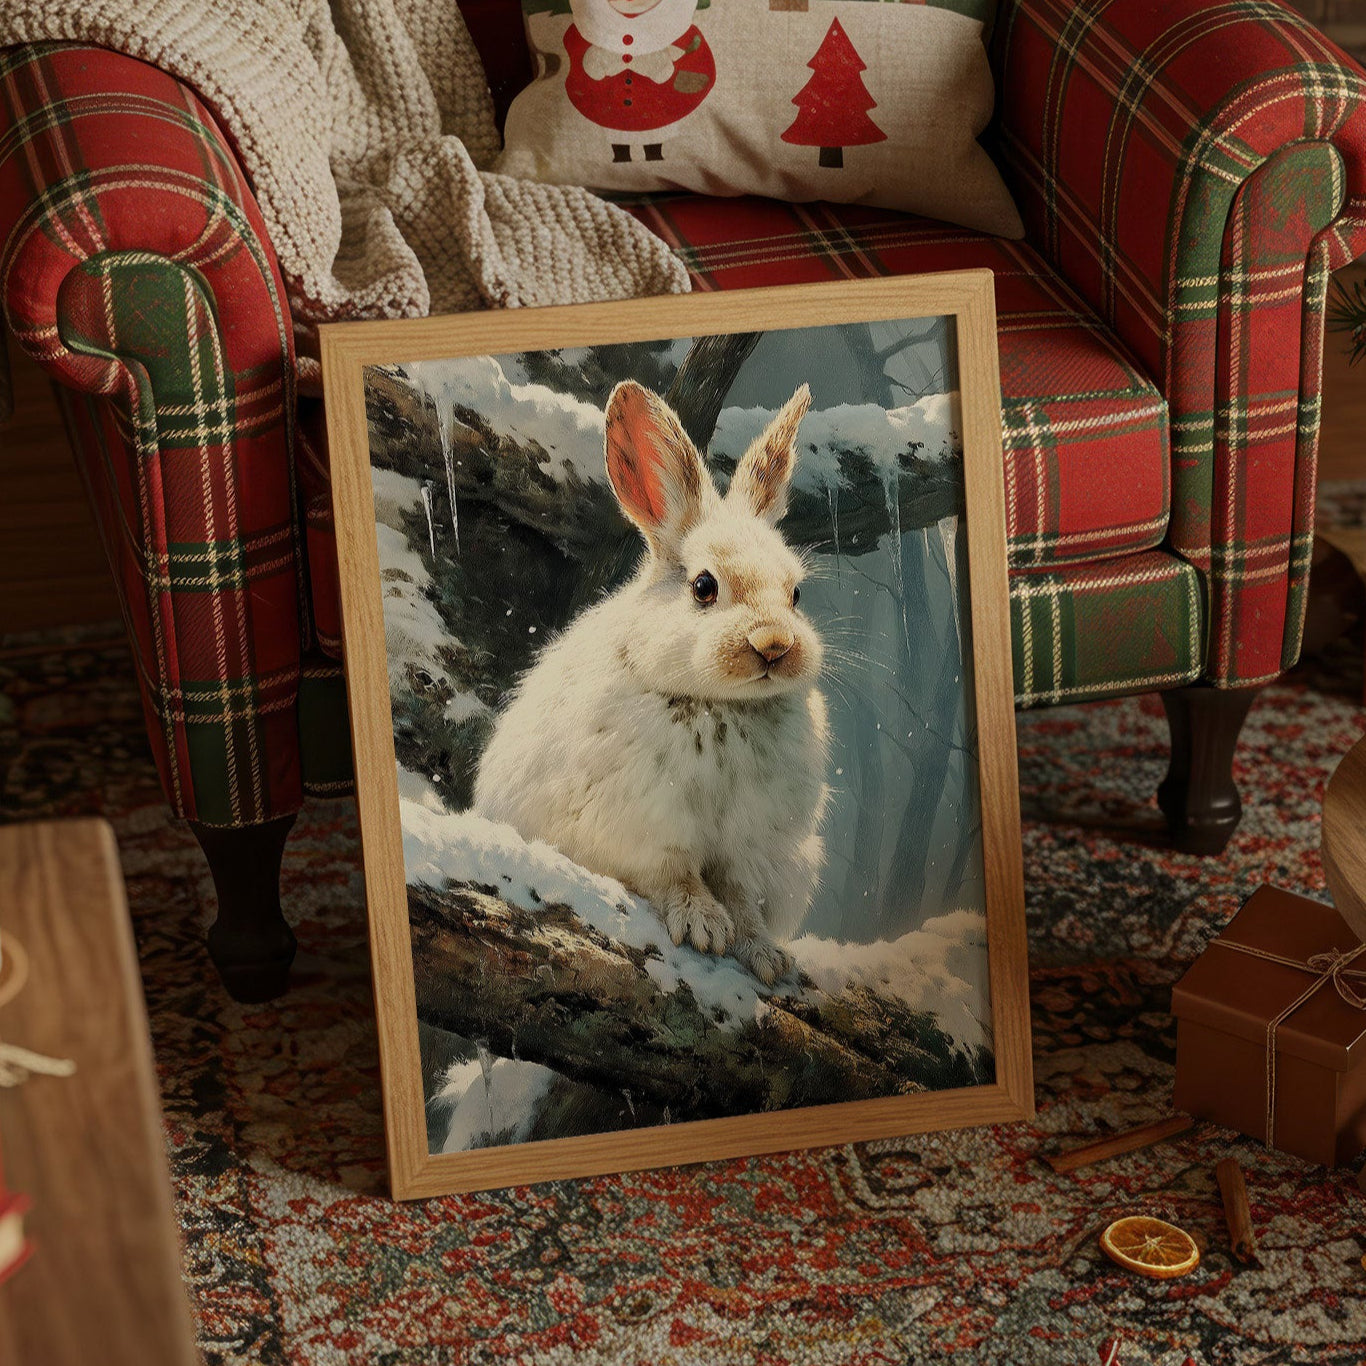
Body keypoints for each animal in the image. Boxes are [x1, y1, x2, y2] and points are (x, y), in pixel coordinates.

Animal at [473, 379, 830, 985]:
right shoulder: (649, 830)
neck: (719, 704)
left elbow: (743, 900)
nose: (774, 646)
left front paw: (765, 955)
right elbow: (676, 877)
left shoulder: (749, 849)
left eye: (797, 594)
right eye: (705, 587)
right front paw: (704, 927)